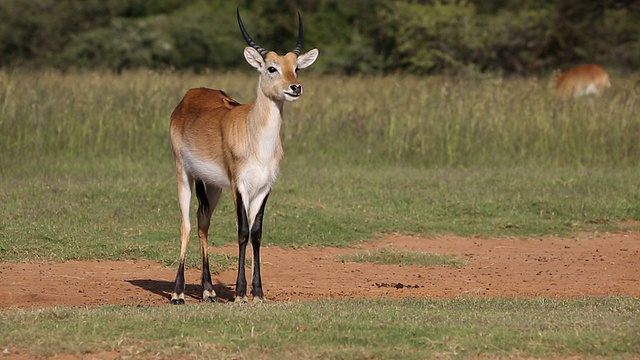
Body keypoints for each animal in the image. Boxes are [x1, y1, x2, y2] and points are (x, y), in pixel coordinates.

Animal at [169, 9, 318, 304]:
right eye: (271, 67)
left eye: (296, 67)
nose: (295, 87)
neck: (256, 140)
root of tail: (190, 95)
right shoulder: (239, 186)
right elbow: (242, 232)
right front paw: (239, 294)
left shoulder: (264, 187)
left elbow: (257, 234)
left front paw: (257, 293)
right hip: (184, 174)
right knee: (186, 225)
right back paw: (178, 293)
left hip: (212, 185)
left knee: (203, 222)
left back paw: (209, 291)